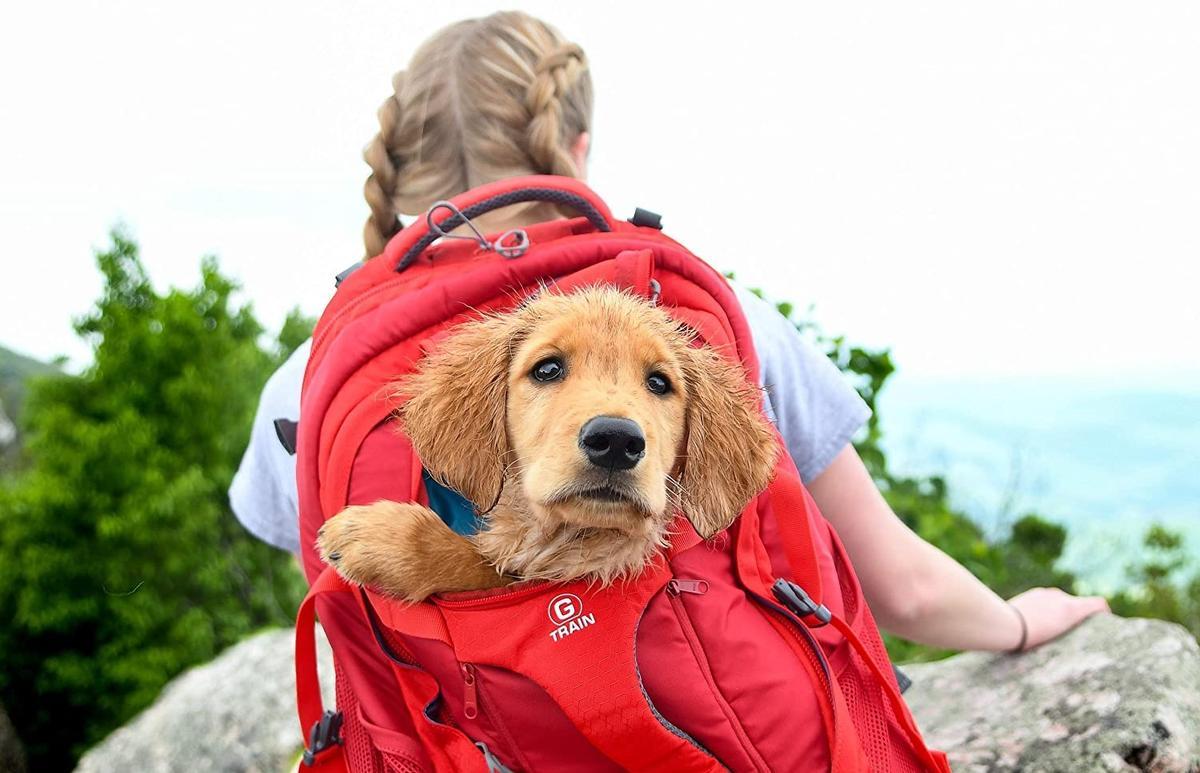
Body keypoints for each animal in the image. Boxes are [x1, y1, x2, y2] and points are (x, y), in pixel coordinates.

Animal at [314, 286, 777, 600]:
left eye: (660, 383)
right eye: (548, 369)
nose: (615, 440)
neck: (575, 539)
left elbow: (482, 566)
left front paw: (384, 537)